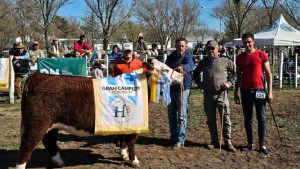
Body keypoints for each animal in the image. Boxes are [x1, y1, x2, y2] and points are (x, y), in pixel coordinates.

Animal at [16, 60, 185, 168]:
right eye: (165, 70)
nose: (182, 75)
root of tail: (38, 76)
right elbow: (131, 142)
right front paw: (134, 161)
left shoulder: (123, 121)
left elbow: (123, 138)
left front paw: (123, 155)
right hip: (37, 123)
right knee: (26, 145)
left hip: (52, 125)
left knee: (49, 142)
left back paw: (59, 162)